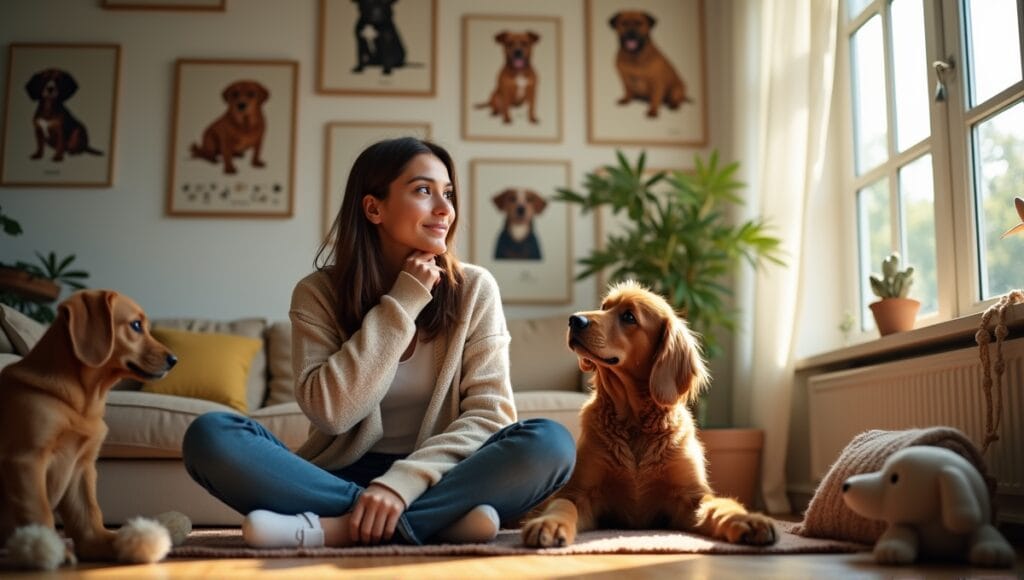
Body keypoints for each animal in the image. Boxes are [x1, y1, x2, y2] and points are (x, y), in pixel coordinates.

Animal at [0, 293, 177, 565]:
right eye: (136, 325)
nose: (174, 360)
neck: (84, 400)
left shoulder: (82, 467)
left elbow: (89, 515)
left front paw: (112, 543)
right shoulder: (25, 459)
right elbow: (38, 510)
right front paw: (46, 549)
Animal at [520, 282, 774, 549]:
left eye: (628, 317)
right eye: (604, 307)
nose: (574, 320)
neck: (634, 422)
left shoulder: (692, 497)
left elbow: (722, 504)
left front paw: (747, 519)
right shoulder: (580, 492)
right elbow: (562, 505)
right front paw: (549, 524)